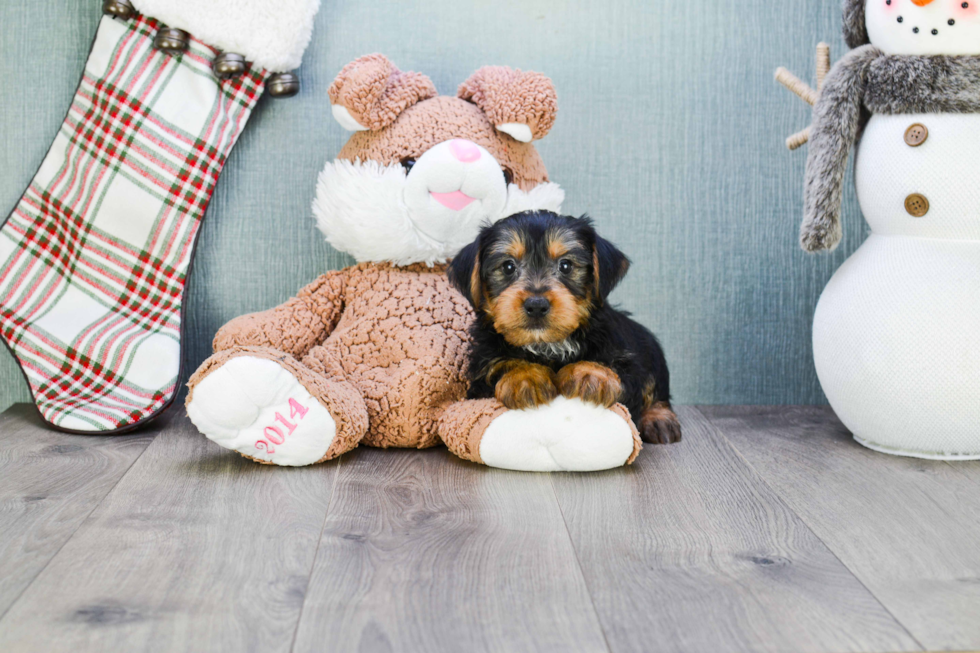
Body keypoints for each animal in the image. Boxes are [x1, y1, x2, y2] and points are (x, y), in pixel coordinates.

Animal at [446, 209, 680, 444]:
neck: (547, 345)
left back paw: (659, 419)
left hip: (649, 349)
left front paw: (590, 373)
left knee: (656, 387)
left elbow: (619, 367)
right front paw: (526, 376)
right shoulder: (479, 375)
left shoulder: (626, 356)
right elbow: (500, 364)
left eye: (566, 265)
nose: (536, 305)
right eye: (507, 266)